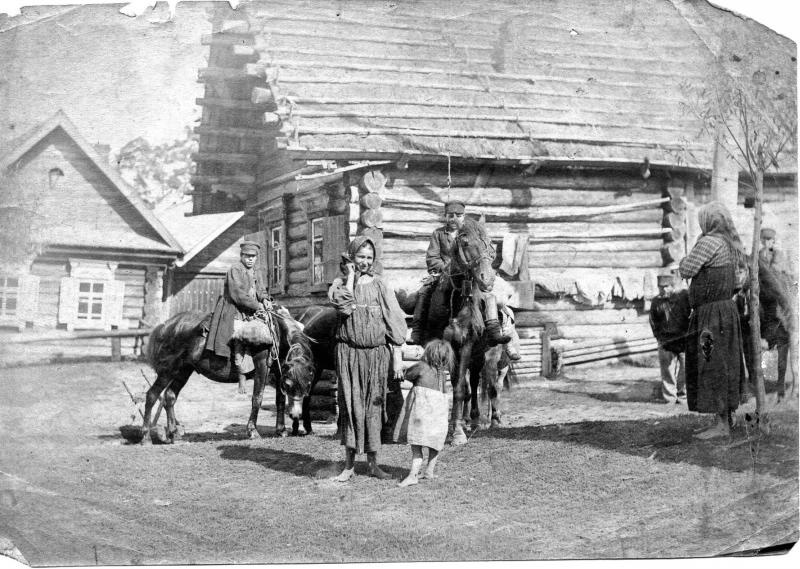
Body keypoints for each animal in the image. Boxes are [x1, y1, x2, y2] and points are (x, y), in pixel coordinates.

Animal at [141, 308, 316, 442]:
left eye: (308, 385)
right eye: (289, 385)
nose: (296, 415)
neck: (278, 334)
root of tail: (165, 326)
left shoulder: (279, 372)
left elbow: (279, 400)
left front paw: (281, 430)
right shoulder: (262, 368)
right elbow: (257, 398)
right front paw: (252, 431)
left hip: (184, 370)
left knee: (169, 396)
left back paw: (173, 434)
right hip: (168, 371)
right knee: (152, 395)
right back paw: (146, 437)